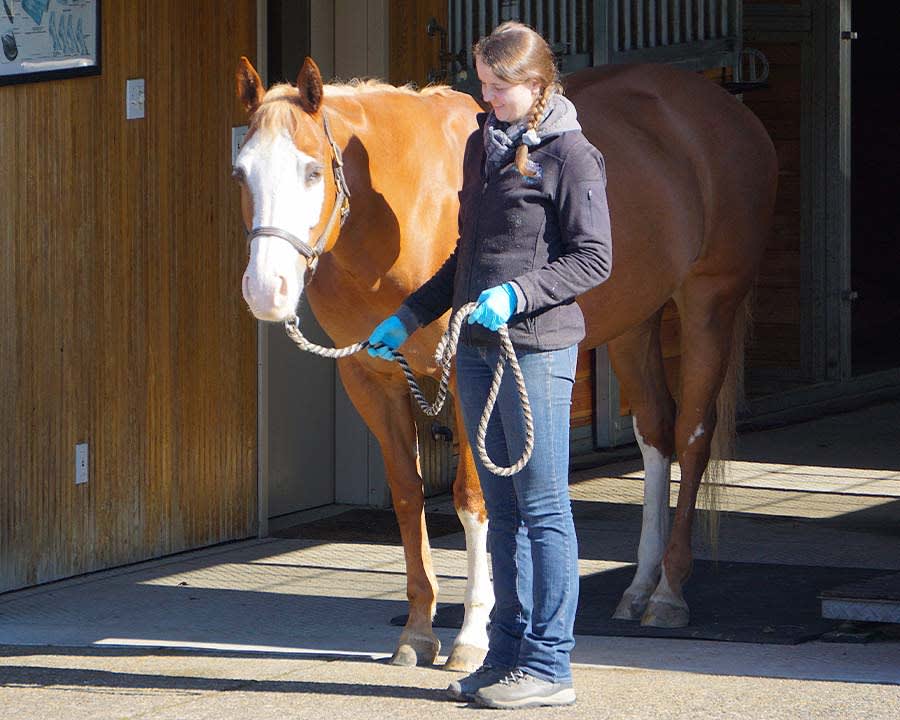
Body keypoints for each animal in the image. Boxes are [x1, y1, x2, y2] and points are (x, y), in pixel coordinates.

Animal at [236, 54, 776, 668]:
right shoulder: (371, 381)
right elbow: (407, 496)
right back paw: (639, 587)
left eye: (311, 172)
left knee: (692, 436)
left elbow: (473, 500)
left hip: (709, 303)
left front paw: (472, 636)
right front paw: (417, 631)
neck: (403, 208)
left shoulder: (467, 376)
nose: (266, 290)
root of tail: (724, 109)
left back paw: (667, 594)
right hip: (635, 320)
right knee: (656, 433)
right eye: (241, 172)